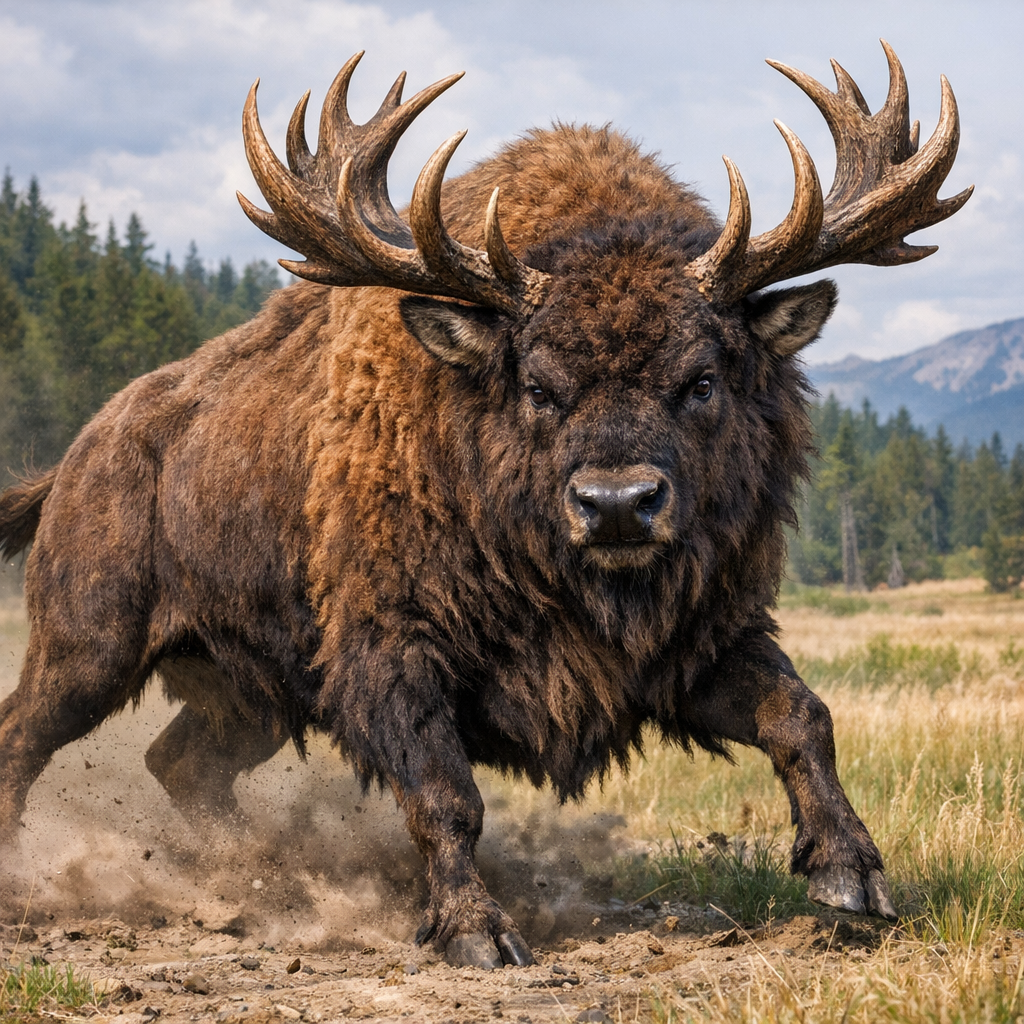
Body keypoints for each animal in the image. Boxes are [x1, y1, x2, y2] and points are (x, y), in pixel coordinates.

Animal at [0, 44, 970, 968]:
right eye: (538, 385)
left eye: (701, 380)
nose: (618, 506)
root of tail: (79, 457)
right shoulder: (393, 654)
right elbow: (446, 797)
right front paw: (475, 931)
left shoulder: (702, 639)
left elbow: (800, 716)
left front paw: (853, 877)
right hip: (90, 646)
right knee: (24, 735)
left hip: (247, 695)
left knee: (181, 764)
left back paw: (253, 875)